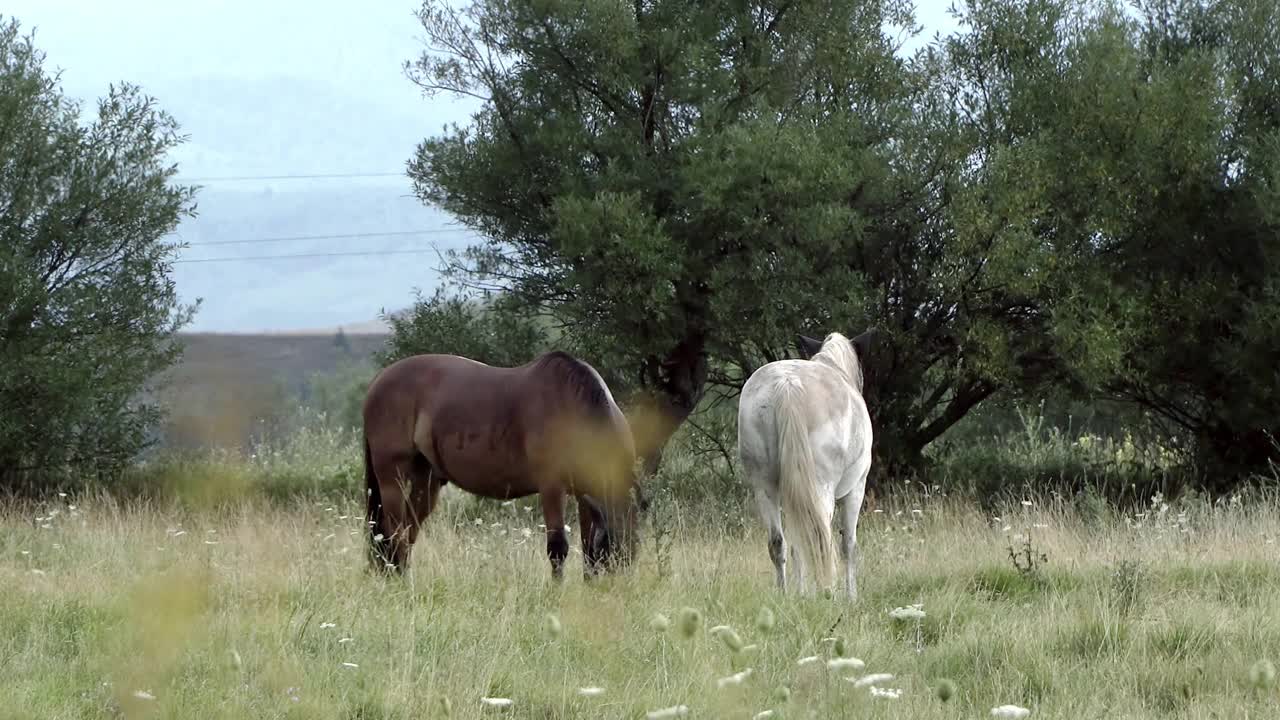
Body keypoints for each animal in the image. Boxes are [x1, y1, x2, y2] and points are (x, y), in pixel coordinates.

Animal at [360, 348, 645, 576]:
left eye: (630, 554)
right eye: (611, 552)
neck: (573, 410)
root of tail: (377, 382)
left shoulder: (587, 494)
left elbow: (586, 548)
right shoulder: (552, 488)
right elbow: (558, 547)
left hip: (427, 482)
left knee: (407, 533)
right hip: (392, 479)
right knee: (394, 534)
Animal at [737, 330, 875, 594]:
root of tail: (787, 384)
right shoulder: (856, 489)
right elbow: (848, 545)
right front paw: (851, 596)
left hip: (765, 488)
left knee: (779, 543)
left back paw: (786, 594)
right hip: (821, 490)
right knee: (820, 538)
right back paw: (826, 592)